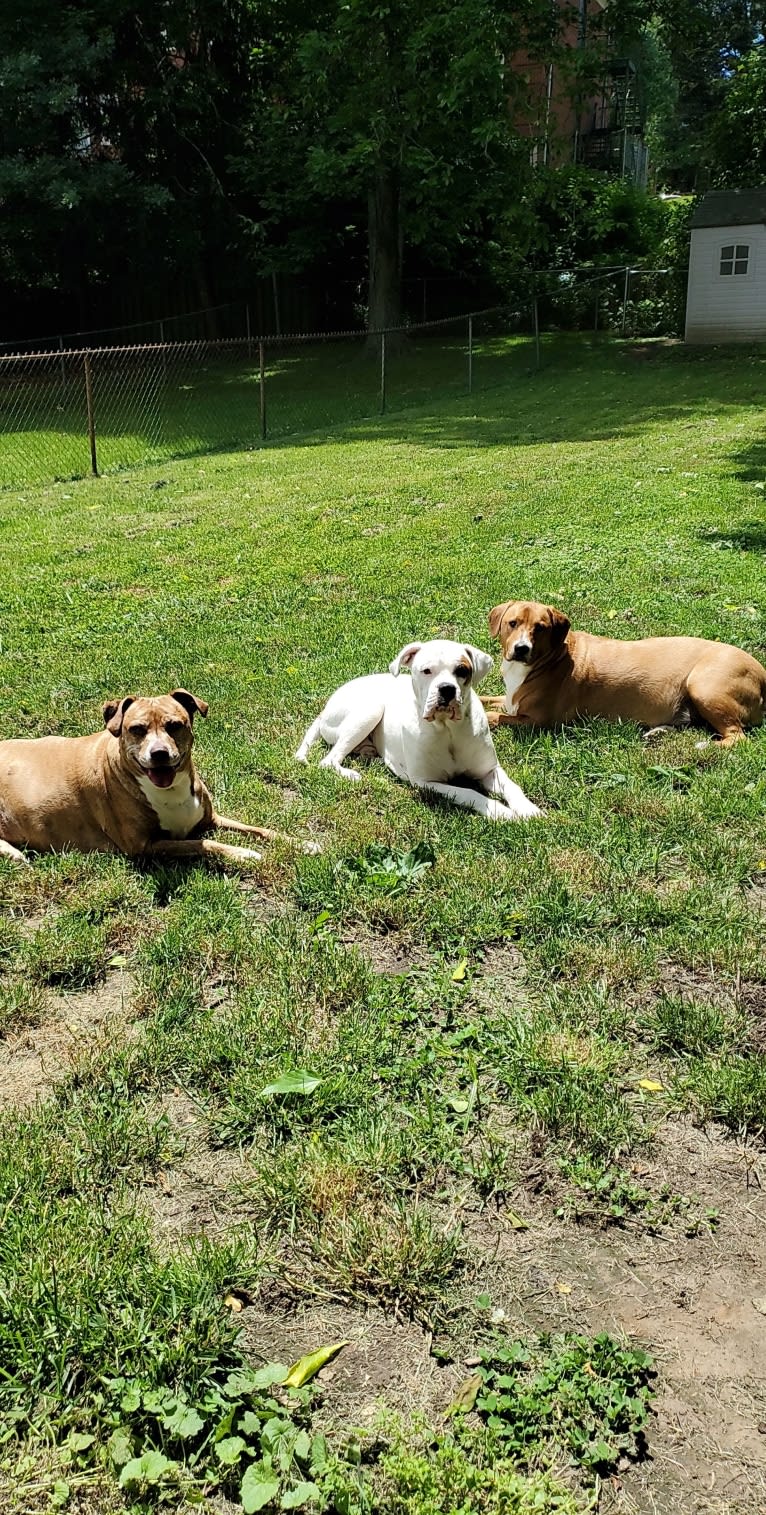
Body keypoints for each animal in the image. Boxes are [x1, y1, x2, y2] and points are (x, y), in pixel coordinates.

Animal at [0, 687, 317, 866]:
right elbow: (202, 844)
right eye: (137, 729)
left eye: (175, 725)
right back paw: (13, 854)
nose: (160, 753)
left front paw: (301, 843)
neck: (170, 790)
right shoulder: (146, 846)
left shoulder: (210, 818)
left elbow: (260, 829)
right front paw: (243, 853)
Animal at [296, 639, 541, 830]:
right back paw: (352, 774)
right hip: (371, 708)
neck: (447, 730)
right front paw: (501, 812)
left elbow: (512, 786)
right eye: (426, 671)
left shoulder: (489, 770)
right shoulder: (427, 782)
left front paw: (527, 809)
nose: (447, 689)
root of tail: (325, 708)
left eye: (462, 671)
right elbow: (469, 793)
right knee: (329, 761)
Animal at [484, 599, 766, 748]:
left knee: (737, 736)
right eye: (512, 623)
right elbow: (489, 700)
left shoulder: (537, 721)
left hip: (704, 686)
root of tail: (762, 672)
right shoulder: (509, 700)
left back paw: (705, 745)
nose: (521, 648)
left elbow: (495, 716)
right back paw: (658, 732)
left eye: (540, 628)